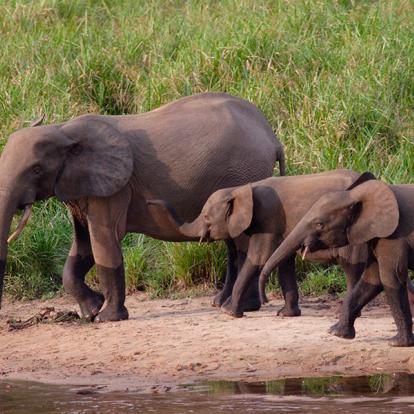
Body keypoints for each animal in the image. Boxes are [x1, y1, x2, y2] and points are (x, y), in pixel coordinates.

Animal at [0, 93, 284, 320]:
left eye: (36, 170)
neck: (63, 130)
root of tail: (273, 137)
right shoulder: (82, 187)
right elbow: (82, 248)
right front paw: (91, 311)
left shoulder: (115, 189)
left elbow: (104, 243)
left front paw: (107, 318)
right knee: (231, 242)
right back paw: (221, 303)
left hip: (245, 174)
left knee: (243, 241)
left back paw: (239, 307)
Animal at [260, 178, 414, 346]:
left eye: (319, 224)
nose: (265, 300)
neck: (355, 194)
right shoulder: (375, 233)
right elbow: (372, 279)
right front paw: (336, 333)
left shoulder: (394, 235)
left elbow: (390, 278)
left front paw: (398, 343)